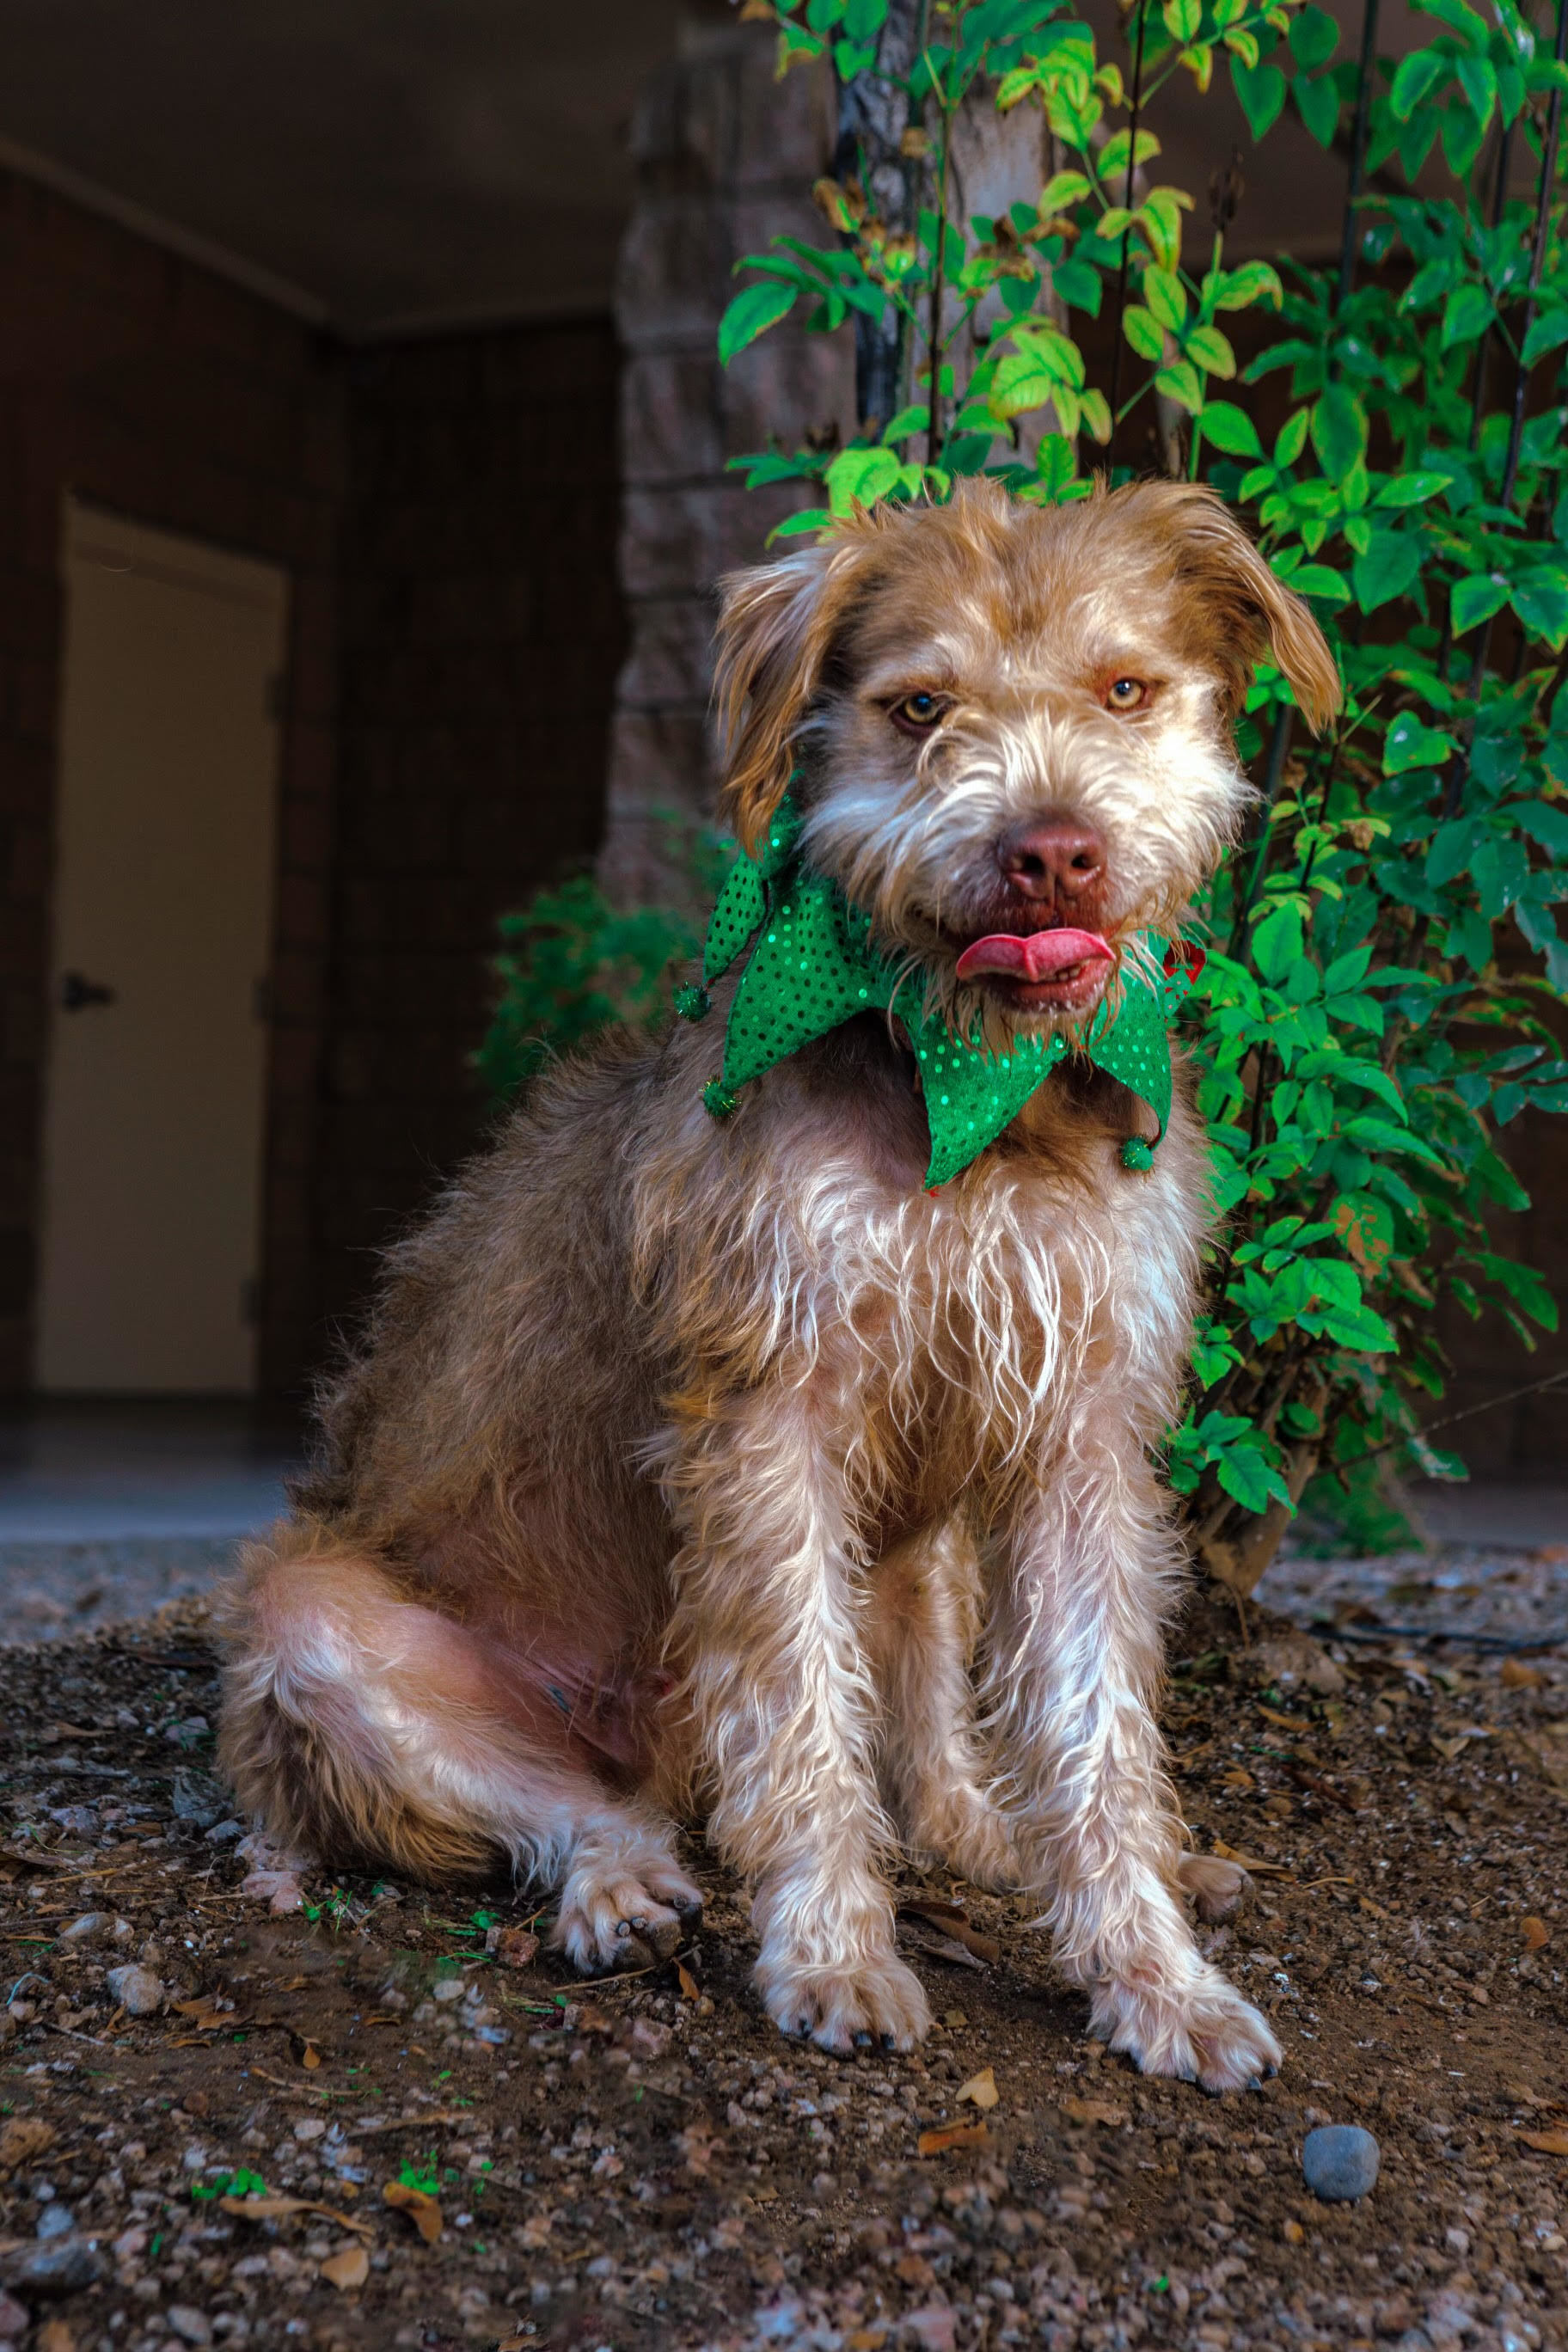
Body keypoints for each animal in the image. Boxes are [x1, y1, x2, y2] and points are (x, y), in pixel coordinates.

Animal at [217, 477, 1335, 2098]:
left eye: (1125, 691)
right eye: (919, 706)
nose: (1050, 852)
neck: (970, 1087)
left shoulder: (1077, 1429)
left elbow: (1095, 1732)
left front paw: (1151, 1971)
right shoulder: (766, 1412)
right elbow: (800, 1715)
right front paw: (833, 1955)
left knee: (920, 1743)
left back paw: (986, 1839)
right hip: (321, 1628)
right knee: (581, 1799)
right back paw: (622, 1880)